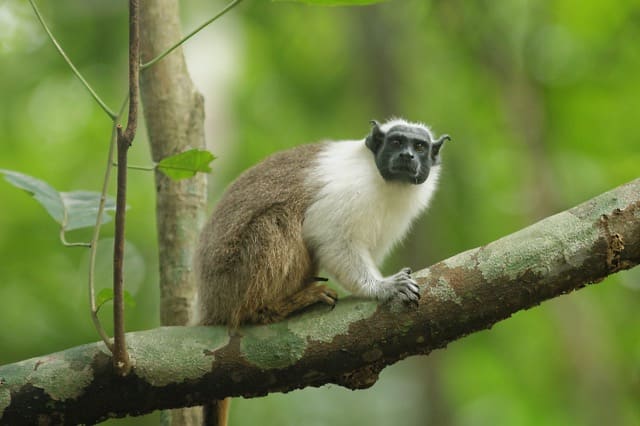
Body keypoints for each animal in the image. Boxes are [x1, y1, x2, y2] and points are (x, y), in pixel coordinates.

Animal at [194, 118, 449, 425]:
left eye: (420, 147)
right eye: (397, 142)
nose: (407, 156)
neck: (387, 185)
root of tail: (210, 303)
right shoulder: (351, 191)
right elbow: (328, 235)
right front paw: (382, 287)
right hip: (234, 277)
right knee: (280, 218)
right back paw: (270, 309)